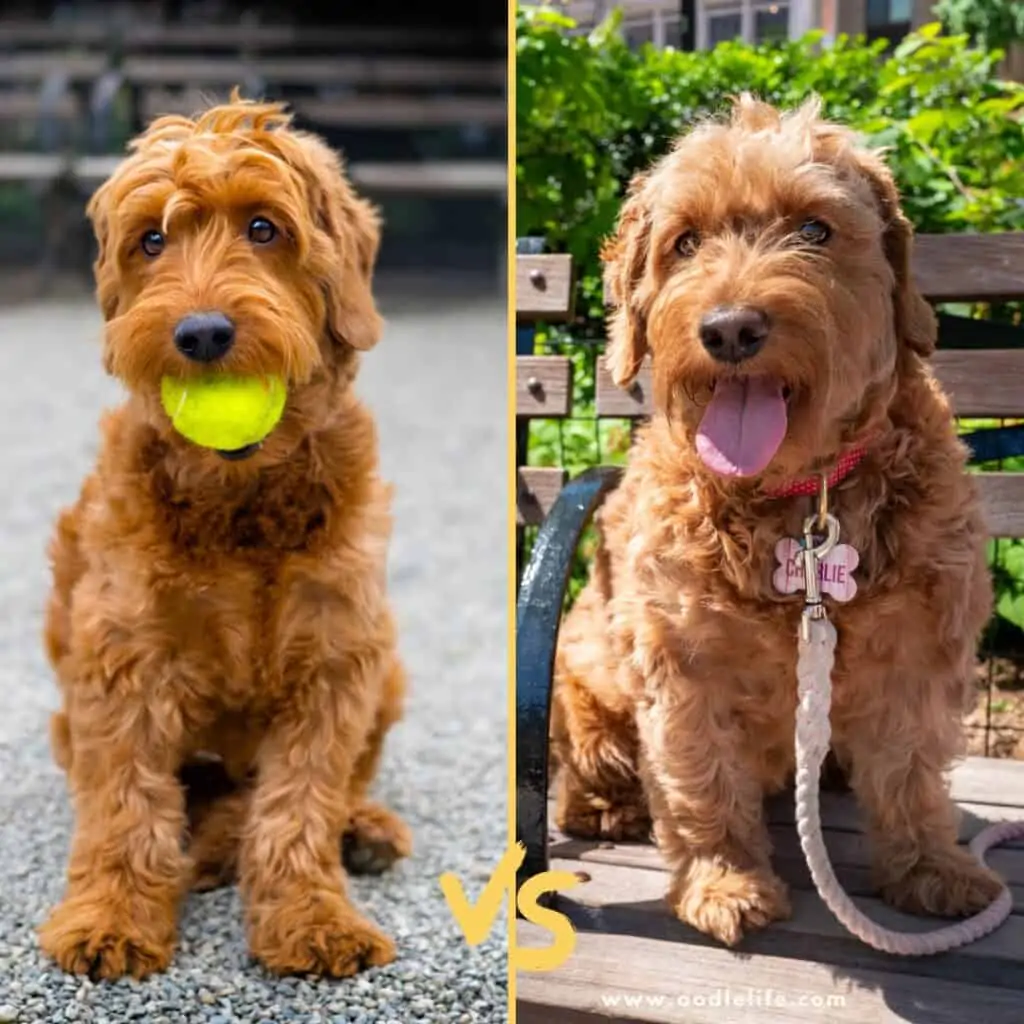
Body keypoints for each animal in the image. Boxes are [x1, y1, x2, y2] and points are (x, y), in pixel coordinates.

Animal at [40, 97, 407, 983]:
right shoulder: (120, 664)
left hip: (388, 669)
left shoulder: (337, 662)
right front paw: (111, 918)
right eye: (151, 240)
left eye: (265, 228)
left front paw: (311, 917)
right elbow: (124, 803)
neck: (241, 503)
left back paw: (357, 830)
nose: (202, 334)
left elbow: (300, 804)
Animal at [548, 96, 1003, 950]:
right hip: (582, 677)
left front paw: (931, 867)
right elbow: (700, 780)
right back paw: (609, 807)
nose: (729, 329)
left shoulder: (918, 648)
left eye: (816, 229)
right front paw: (725, 882)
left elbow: (911, 770)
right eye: (684, 241)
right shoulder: (681, 662)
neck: (798, 499)